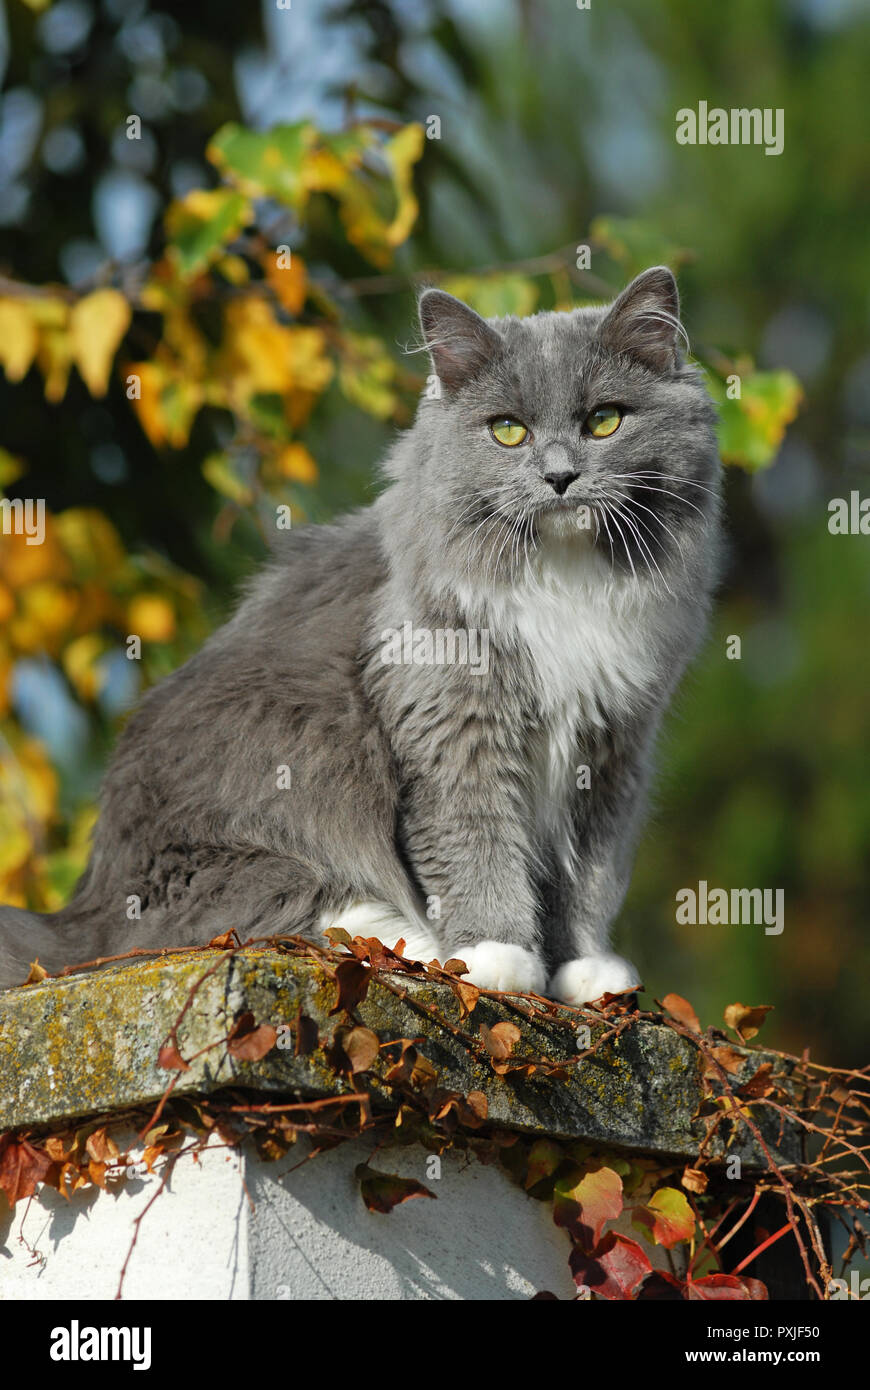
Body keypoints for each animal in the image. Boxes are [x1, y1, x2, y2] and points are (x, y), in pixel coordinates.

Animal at [0, 265, 717, 1000]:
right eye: (508, 432)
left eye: (603, 421)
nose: (560, 477)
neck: (562, 578)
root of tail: (82, 915)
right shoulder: (452, 726)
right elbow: (475, 842)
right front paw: (499, 956)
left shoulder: (612, 749)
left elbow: (591, 878)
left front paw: (586, 971)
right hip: (272, 792)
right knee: (303, 908)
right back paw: (424, 948)